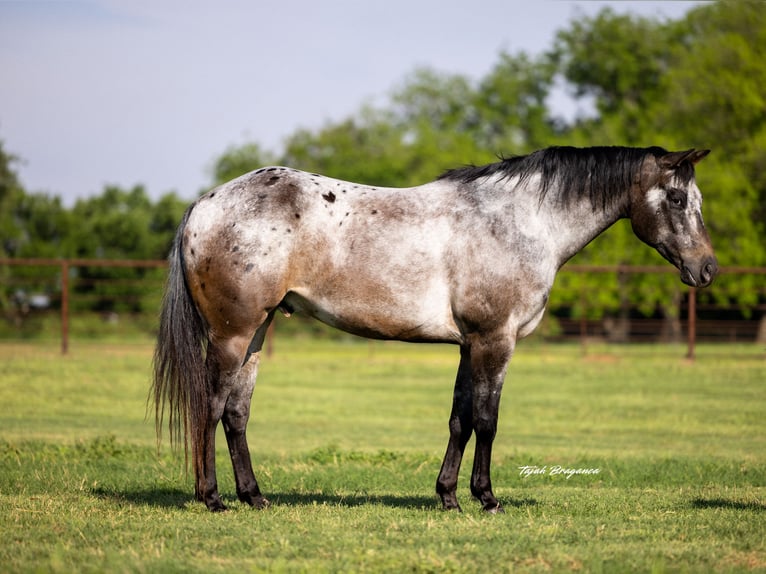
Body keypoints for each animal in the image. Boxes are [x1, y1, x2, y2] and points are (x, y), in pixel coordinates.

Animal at [152, 145, 717, 513]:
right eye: (675, 199)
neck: (521, 222)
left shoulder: (470, 346)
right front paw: (486, 498)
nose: (707, 269)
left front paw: (447, 497)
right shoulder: (494, 340)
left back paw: (255, 497)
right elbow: (487, 420)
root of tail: (205, 203)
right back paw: (213, 499)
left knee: (236, 415)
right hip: (231, 335)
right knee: (210, 407)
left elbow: (459, 420)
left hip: (256, 334)